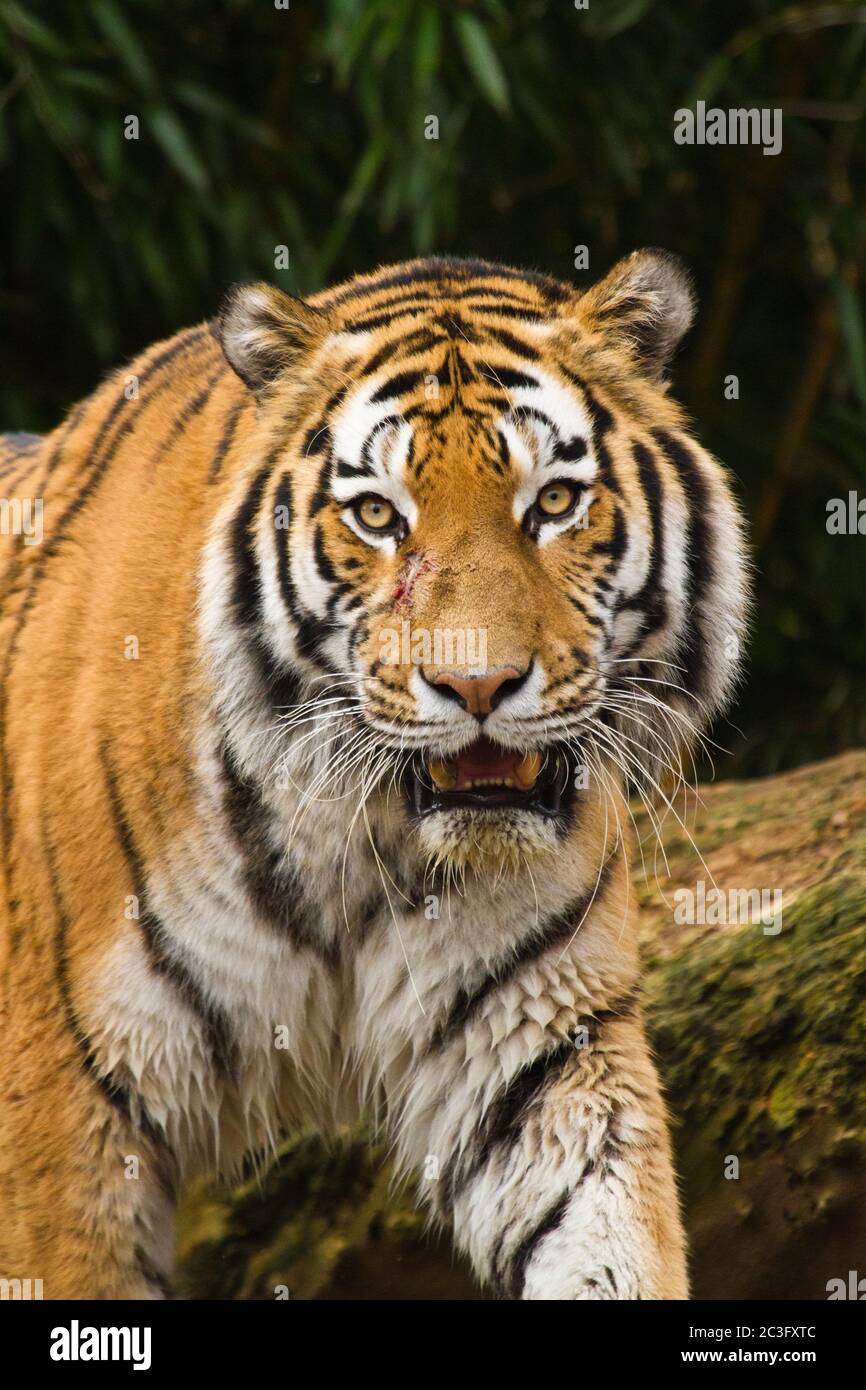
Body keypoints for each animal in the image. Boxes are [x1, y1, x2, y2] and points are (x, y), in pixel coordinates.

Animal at [0, 251, 749, 1300]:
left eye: (555, 503)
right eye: (377, 516)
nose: (476, 683)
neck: (348, 843)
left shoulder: (540, 1048)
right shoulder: (60, 1109)